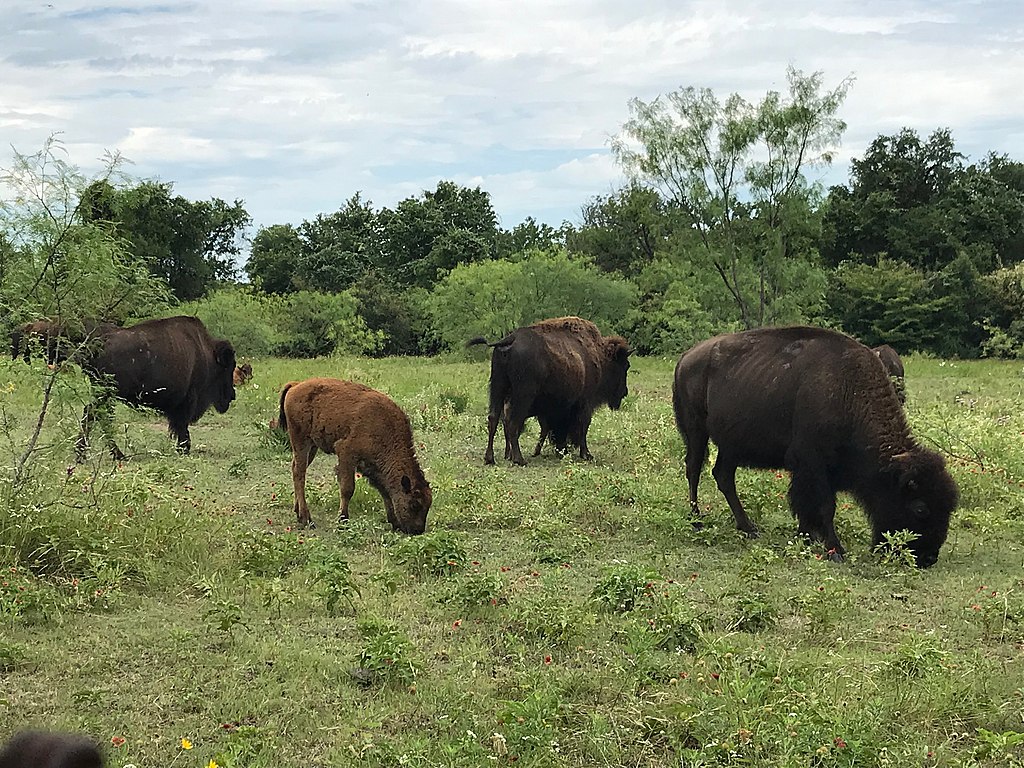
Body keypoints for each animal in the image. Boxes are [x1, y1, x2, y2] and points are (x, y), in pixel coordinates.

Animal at [74, 313, 236, 460]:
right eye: (228, 367)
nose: (232, 396)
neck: (206, 352)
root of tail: (98, 345)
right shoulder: (188, 400)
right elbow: (182, 426)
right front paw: (184, 449)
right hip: (108, 393)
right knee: (94, 414)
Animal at [276, 378, 432, 536]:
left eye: (428, 505)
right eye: (414, 504)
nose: (417, 530)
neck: (385, 429)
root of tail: (295, 385)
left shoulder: (371, 467)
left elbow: (384, 492)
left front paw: (394, 522)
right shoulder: (346, 453)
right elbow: (347, 488)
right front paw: (343, 519)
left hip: (312, 446)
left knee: (295, 469)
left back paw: (297, 511)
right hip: (301, 441)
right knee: (299, 474)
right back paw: (306, 519)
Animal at [471, 315, 630, 466]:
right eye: (625, 365)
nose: (625, 392)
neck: (599, 356)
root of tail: (510, 339)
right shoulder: (585, 403)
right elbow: (583, 426)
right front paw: (586, 455)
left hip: (497, 388)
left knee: (493, 419)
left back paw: (490, 458)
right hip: (523, 395)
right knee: (512, 423)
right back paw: (519, 459)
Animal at [671, 327, 958, 569]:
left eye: (949, 506)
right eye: (920, 508)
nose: (928, 558)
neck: (849, 392)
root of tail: (685, 358)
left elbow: (806, 504)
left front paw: (806, 537)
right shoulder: (813, 464)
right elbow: (823, 506)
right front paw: (835, 550)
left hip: (731, 445)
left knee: (723, 475)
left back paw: (748, 527)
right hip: (696, 431)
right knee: (694, 469)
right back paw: (697, 520)